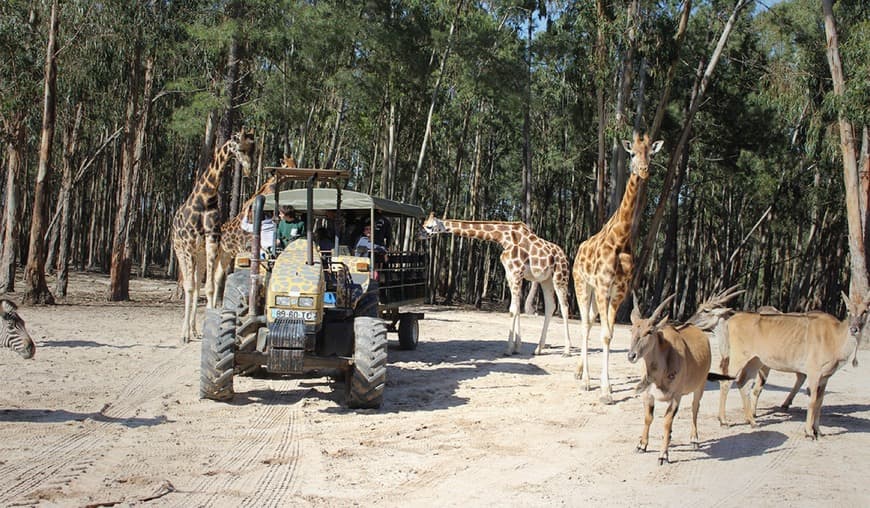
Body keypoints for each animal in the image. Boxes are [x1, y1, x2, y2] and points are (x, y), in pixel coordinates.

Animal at [169, 129, 254, 344]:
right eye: (240, 147)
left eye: (254, 148)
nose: (249, 170)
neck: (205, 198)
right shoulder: (189, 245)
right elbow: (190, 288)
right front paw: (184, 335)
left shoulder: (211, 240)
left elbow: (208, 287)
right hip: (180, 251)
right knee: (189, 285)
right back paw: (186, 332)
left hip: (198, 254)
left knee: (197, 282)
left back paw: (194, 330)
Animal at [422, 213, 572, 354]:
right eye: (424, 224)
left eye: (429, 226)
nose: (420, 235)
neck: (503, 238)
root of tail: (564, 255)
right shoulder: (510, 274)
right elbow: (517, 308)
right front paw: (517, 347)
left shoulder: (516, 272)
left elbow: (513, 309)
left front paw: (508, 349)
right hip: (545, 280)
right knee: (550, 306)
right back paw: (538, 349)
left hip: (560, 277)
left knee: (564, 306)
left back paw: (566, 350)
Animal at [576, 132, 664, 404]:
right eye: (632, 153)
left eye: (651, 153)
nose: (644, 170)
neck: (621, 239)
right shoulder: (604, 287)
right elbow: (605, 334)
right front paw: (605, 391)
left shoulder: (618, 292)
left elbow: (610, 333)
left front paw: (608, 387)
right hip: (583, 286)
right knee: (585, 324)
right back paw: (585, 380)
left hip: (595, 294)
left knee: (591, 322)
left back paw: (580, 372)